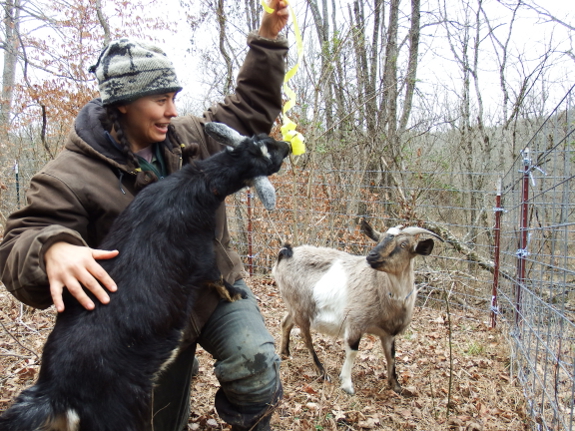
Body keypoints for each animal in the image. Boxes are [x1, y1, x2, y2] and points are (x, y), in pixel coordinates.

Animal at [0, 121, 290, 431]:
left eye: (266, 139)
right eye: (272, 151)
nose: (287, 145)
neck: (198, 182)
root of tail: (56, 391)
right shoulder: (200, 251)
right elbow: (214, 275)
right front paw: (234, 292)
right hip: (119, 410)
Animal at [272, 221, 444, 396]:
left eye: (403, 244)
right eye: (379, 239)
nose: (371, 256)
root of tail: (287, 252)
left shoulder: (388, 333)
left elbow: (391, 355)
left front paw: (396, 386)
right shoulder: (355, 323)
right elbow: (353, 351)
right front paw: (347, 385)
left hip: (295, 306)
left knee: (286, 322)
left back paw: (285, 352)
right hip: (301, 307)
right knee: (306, 337)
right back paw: (322, 372)